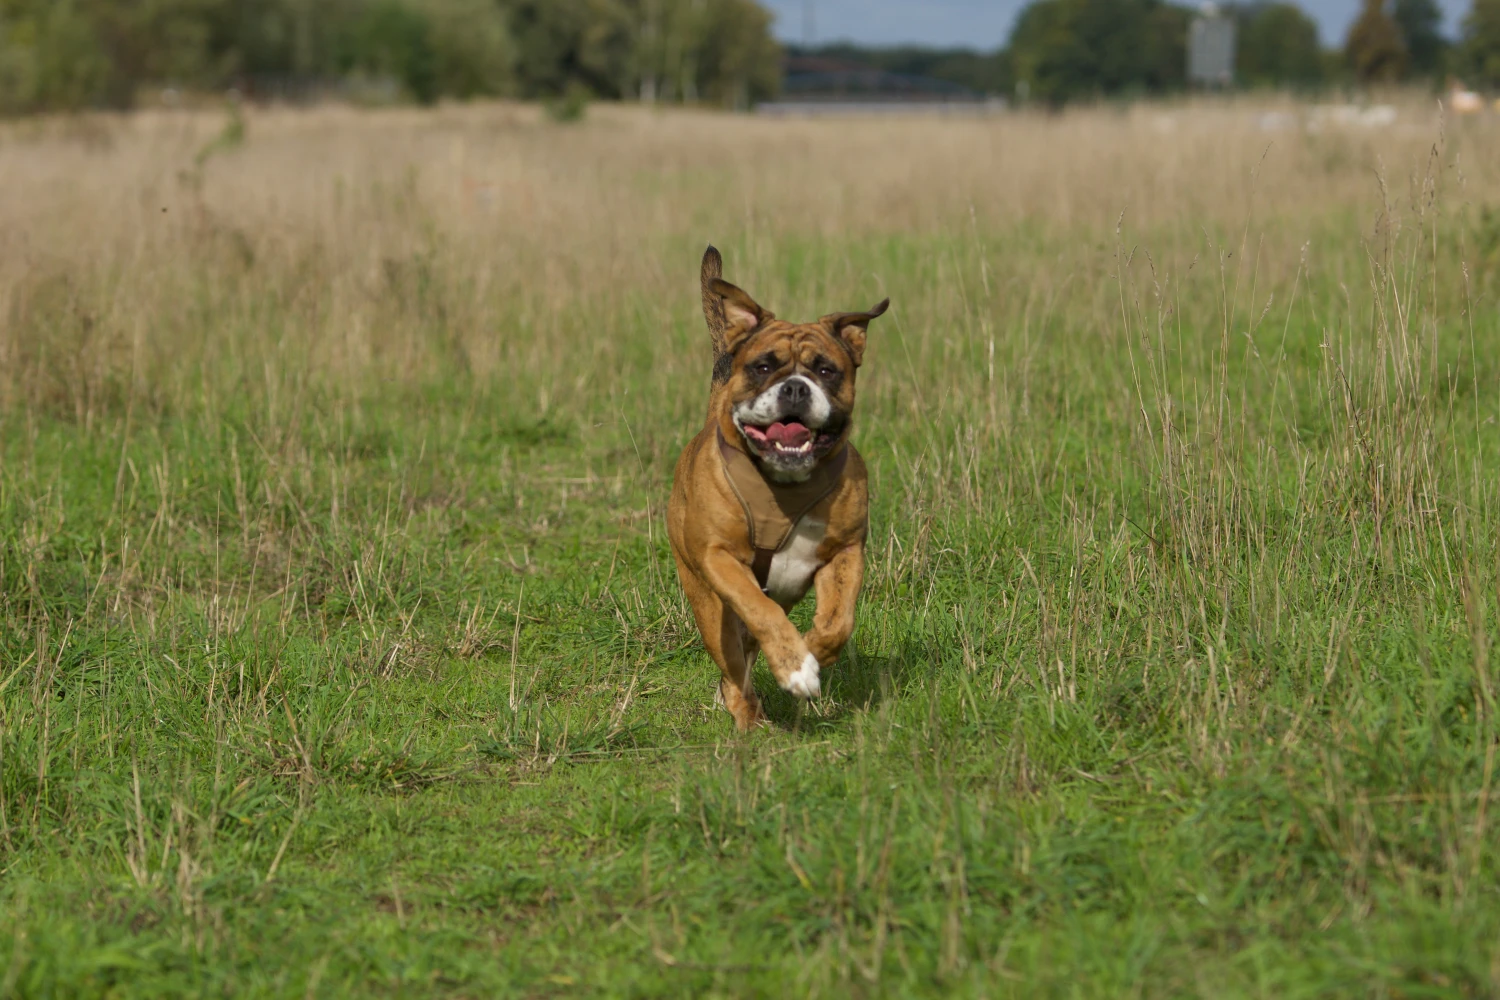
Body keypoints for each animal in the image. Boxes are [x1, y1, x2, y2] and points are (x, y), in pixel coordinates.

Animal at [669, 245, 888, 731]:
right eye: (764, 366)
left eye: (826, 370)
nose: (795, 388)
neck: (783, 484)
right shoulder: (721, 558)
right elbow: (760, 609)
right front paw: (794, 667)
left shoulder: (846, 551)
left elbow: (838, 620)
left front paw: (813, 655)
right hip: (707, 604)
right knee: (734, 664)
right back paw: (748, 716)